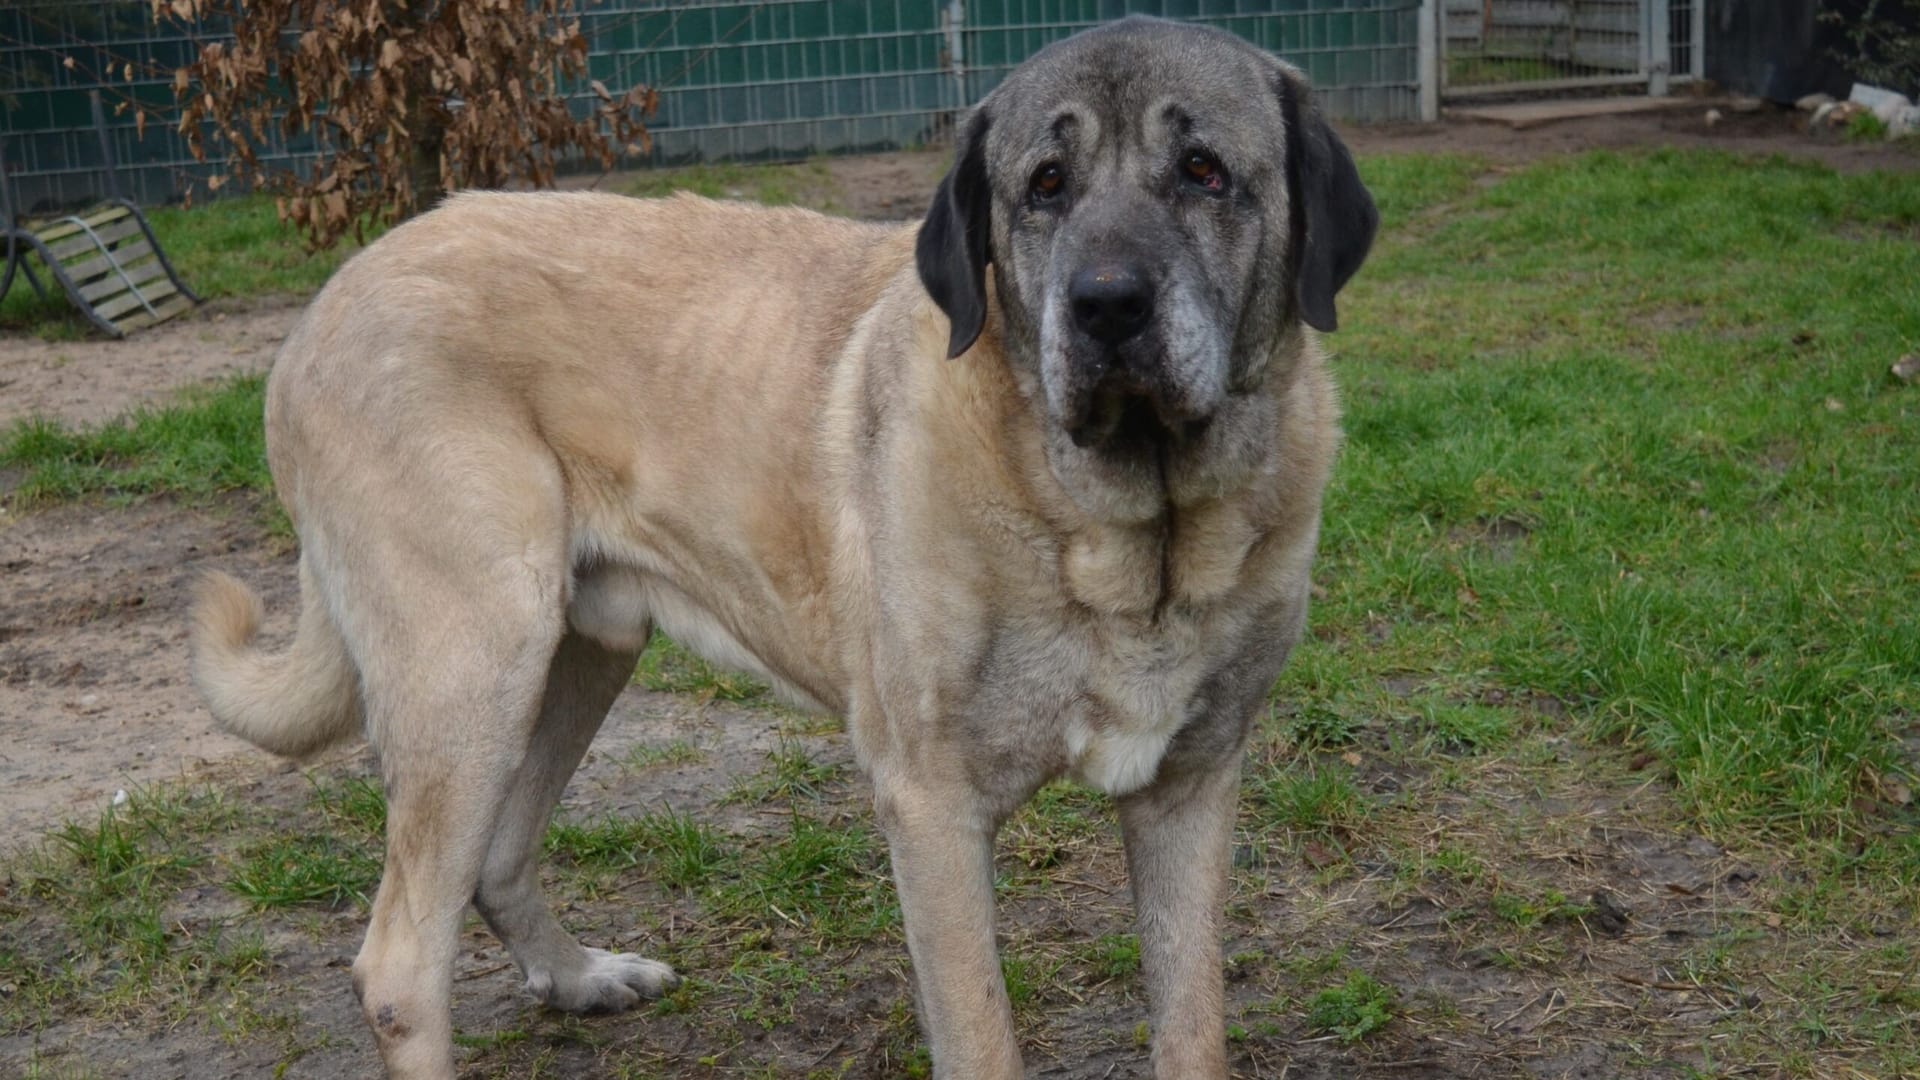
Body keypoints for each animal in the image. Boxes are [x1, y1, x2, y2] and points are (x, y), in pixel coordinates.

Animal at [187, 16, 1374, 1076]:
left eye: (1204, 171)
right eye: (1044, 185)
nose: (1108, 306)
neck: (1129, 533)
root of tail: (323, 306)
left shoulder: (1191, 786)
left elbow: (1192, 1027)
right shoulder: (932, 807)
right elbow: (983, 1038)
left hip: (574, 654)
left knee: (499, 856)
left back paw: (580, 978)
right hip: (473, 664)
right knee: (398, 964)